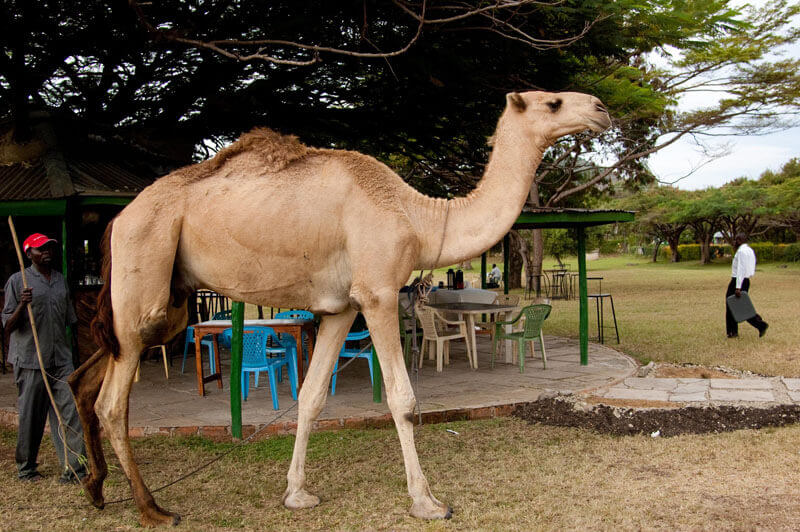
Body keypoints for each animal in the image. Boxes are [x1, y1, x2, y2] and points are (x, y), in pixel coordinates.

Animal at [69, 89, 608, 524]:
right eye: (553, 102)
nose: (600, 109)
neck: (417, 217)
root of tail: (118, 219)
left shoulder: (341, 308)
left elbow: (311, 398)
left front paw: (297, 494)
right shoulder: (378, 293)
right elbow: (402, 399)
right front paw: (428, 502)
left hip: (163, 304)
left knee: (88, 375)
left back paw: (95, 489)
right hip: (147, 268)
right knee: (112, 401)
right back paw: (153, 509)